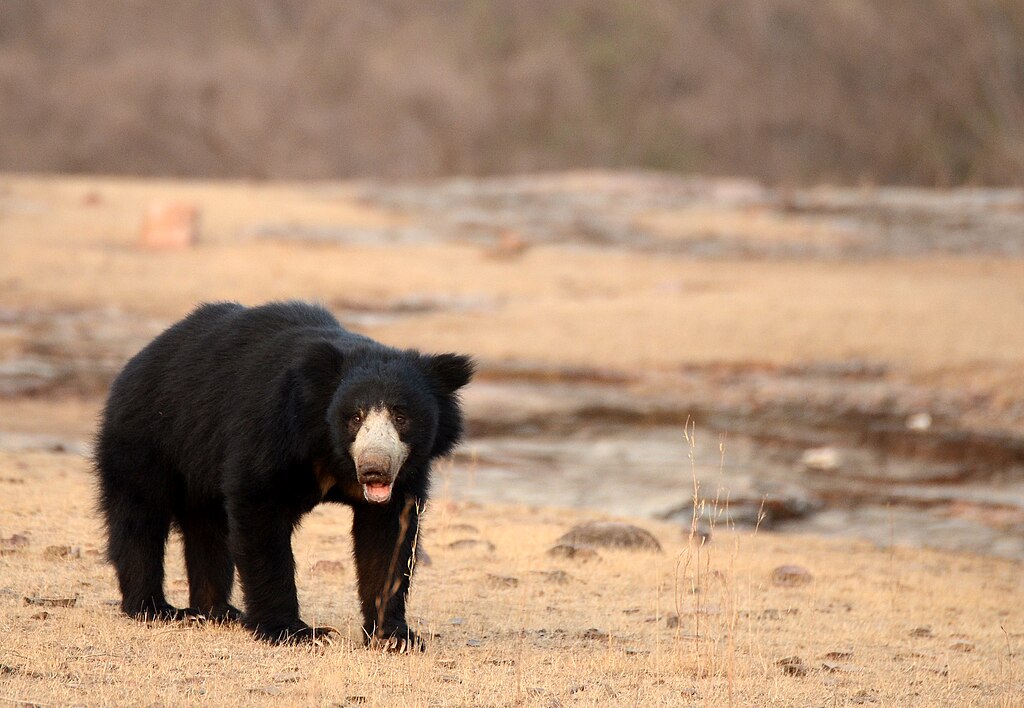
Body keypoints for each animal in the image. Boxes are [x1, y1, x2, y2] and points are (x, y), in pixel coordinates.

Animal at [94, 301, 473, 651]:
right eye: (355, 417)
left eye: (401, 416)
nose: (374, 468)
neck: (331, 452)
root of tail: (137, 360)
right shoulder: (273, 430)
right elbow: (260, 515)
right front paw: (295, 632)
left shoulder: (404, 478)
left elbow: (388, 539)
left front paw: (395, 637)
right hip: (150, 437)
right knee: (140, 516)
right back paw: (153, 608)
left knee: (208, 527)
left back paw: (218, 610)